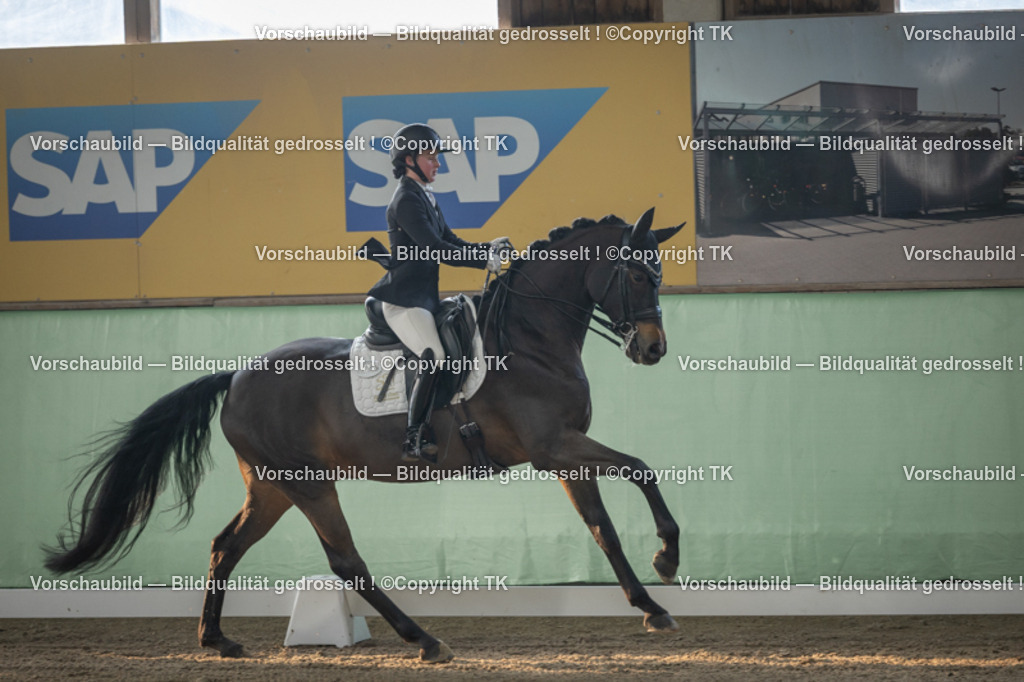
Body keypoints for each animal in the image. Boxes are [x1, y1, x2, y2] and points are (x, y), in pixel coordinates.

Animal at [43, 208, 686, 663]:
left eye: (658, 273)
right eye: (635, 273)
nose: (653, 349)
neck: (531, 338)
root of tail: (237, 376)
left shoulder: (563, 456)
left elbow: (605, 526)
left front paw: (651, 604)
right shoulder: (554, 447)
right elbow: (642, 468)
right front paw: (667, 559)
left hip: (272, 485)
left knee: (226, 545)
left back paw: (217, 640)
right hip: (307, 484)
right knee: (345, 559)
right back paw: (423, 640)